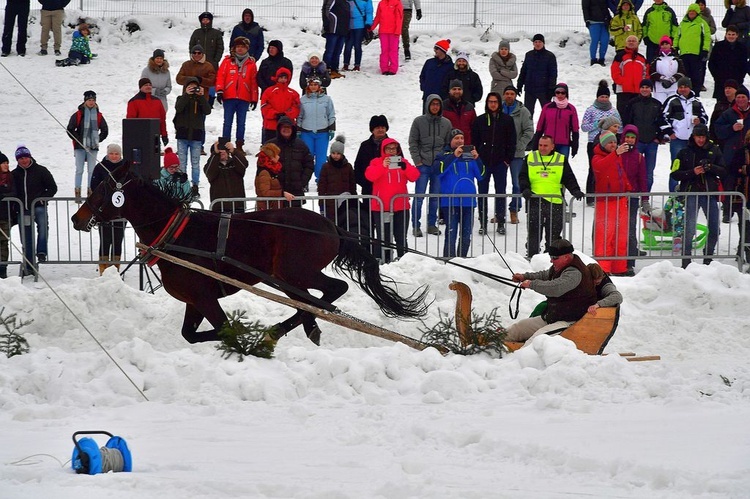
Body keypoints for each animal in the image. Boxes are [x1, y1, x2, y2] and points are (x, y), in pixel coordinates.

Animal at [73, 162, 432, 346]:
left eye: (101, 190)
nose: (77, 218)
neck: (175, 233)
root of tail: (330, 226)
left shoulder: (204, 297)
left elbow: (225, 331)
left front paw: (248, 338)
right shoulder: (194, 300)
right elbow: (190, 335)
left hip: (292, 273)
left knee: (331, 290)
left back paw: (284, 330)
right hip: (288, 279)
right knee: (313, 301)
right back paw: (304, 328)